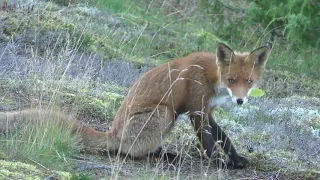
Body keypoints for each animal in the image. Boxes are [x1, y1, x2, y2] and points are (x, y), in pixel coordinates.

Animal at [1, 43, 268, 169]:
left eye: (248, 82)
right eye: (231, 80)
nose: (240, 100)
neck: (211, 76)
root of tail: (114, 132)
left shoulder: (208, 110)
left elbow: (225, 138)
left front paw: (236, 158)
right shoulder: (197, 110)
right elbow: (210, 143)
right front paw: (220, 163)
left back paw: (165, 153)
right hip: (165, 114)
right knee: (129, 151)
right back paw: (161, 156)